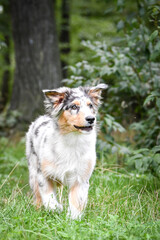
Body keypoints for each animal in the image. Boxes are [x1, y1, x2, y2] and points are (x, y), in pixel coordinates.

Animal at [25, 84, 107, 219]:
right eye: (74, 106)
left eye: (90, 105)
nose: (91, 119)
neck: (73, 140)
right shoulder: (43, 174)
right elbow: (48, 197)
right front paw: (56, 208)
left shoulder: (81, 178)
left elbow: (77, 200)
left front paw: (73, 219)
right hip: (33, 171)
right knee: (37, 196)